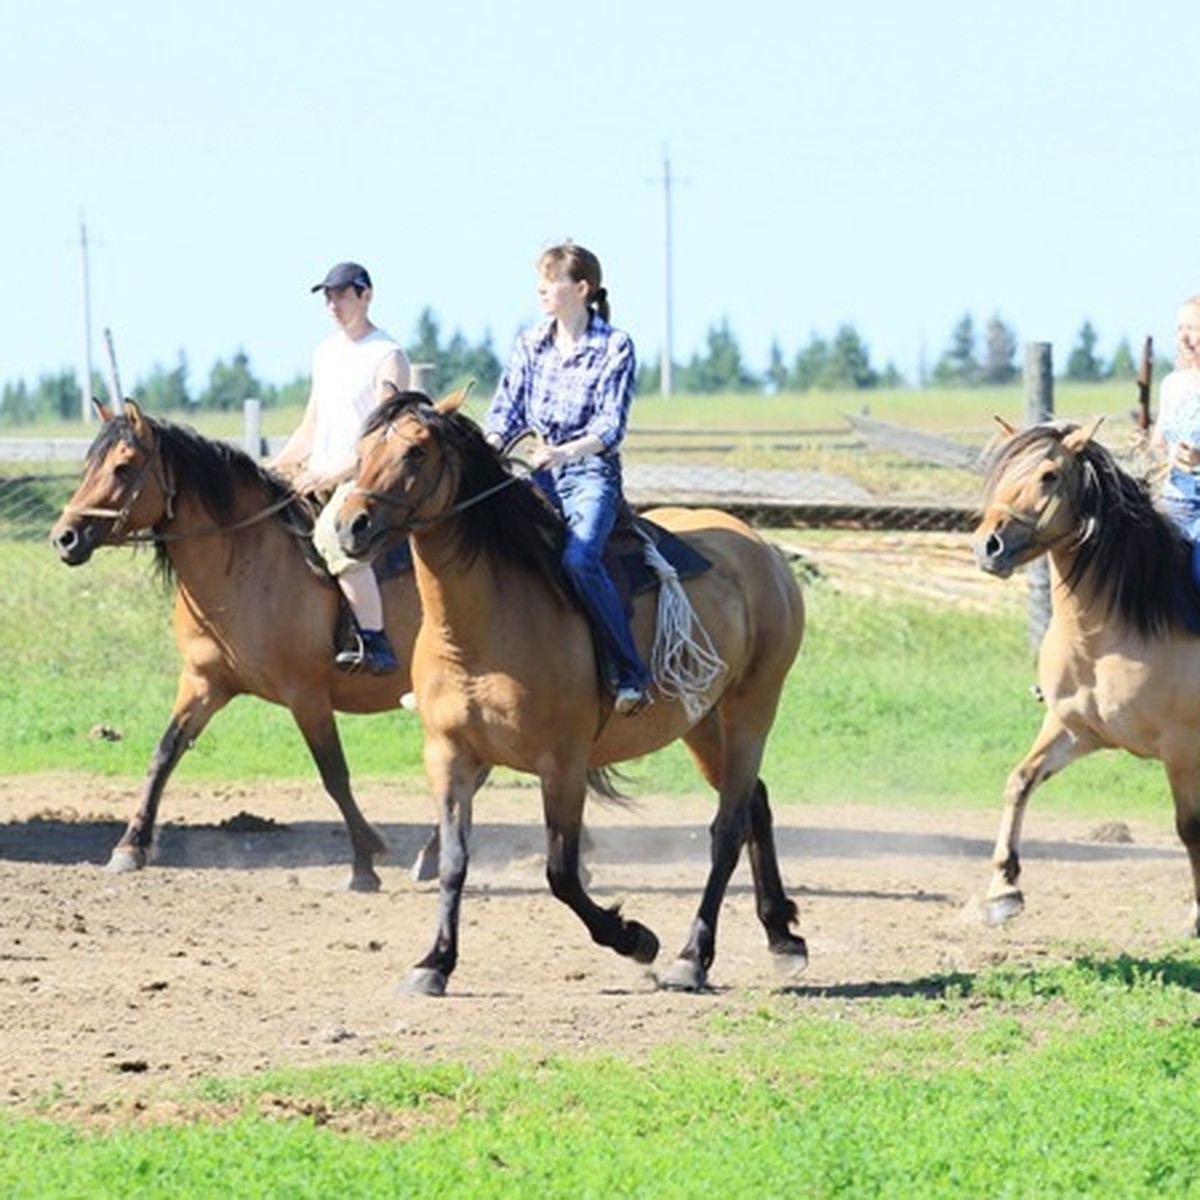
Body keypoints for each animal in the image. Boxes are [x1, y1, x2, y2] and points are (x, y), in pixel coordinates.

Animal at [49, 403, 424, 892]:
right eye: (89, 464)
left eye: (122, 467)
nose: (64, 537)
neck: (246, 564)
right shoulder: (204, 683)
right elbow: (163, 755)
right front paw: (129, 847)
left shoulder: (307, 696)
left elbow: (335, 776)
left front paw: (364, 863)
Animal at [333, 386, 811, 993]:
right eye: (361, 448)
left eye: (416, 452)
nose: (351, 526)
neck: (485, 626)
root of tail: (761, 548)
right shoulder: (448, 755)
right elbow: (454, 862)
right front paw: (434, 962)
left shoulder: (562, 762)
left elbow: (560, 872)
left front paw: (635, 938)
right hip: (703, 721)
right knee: (755, 804)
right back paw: (782, 936)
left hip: (753, 706)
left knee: (727, 828)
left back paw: (692, 956)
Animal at [969, 417, 1200, 931]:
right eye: (1003, 472)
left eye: (1049, 475)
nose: (987, 547)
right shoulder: (1073, 728)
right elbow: (1019, 781)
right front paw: (1002, 889)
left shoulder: (1182, 749)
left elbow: (1190, 828)